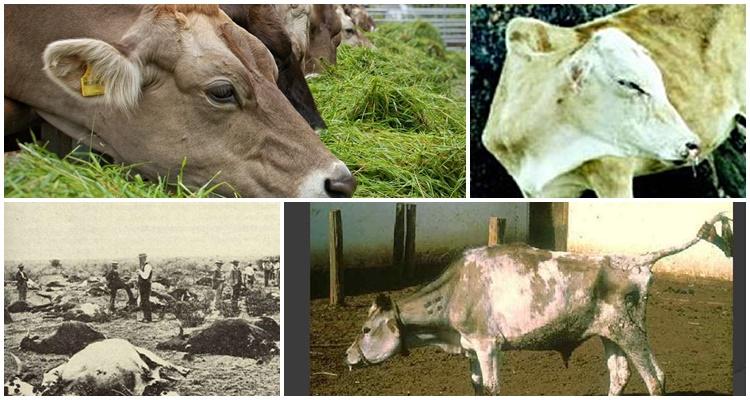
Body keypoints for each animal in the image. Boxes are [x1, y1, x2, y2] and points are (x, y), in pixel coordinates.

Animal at [346, 214, 730, 395]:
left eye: (365, 328)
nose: (348, 355)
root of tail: (636, 259)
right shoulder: (470, 348)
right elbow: (477, 387)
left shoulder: (487, 345)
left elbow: (492, 388)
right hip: (610, 333)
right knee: (619, 375)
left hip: (631, 330)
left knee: (655, 377)